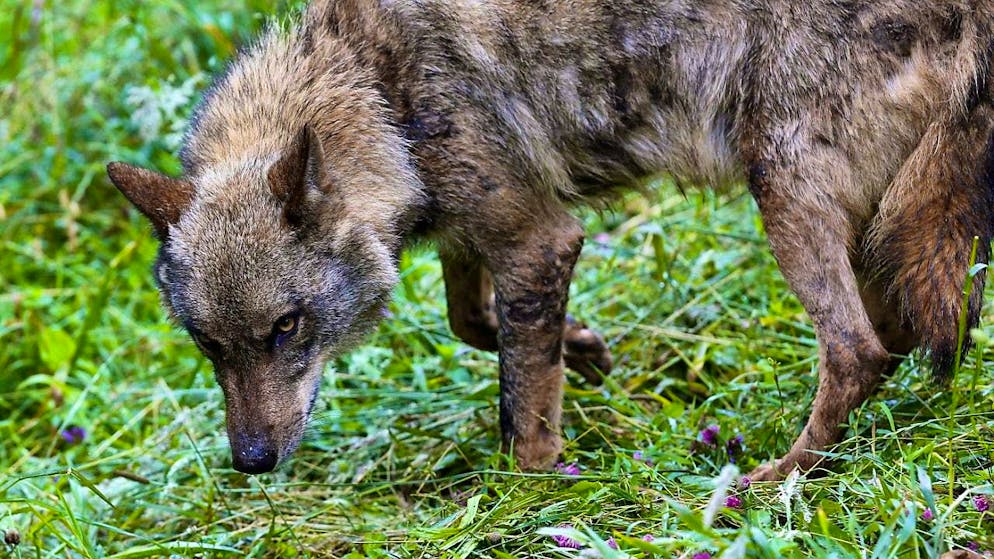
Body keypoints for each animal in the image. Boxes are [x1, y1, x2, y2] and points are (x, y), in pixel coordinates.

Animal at [108, 0, 994, 479]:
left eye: (286, 328)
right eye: (207, 344)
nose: (251, 461)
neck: (375, 89)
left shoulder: (538, 238)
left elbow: (520, 408)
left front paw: (532, 493)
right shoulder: (474, 230)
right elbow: (475, 323)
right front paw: (587, 350)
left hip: (784, 195)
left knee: (858, 350)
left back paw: (770, 480)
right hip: (882, 229)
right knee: (912, 331)